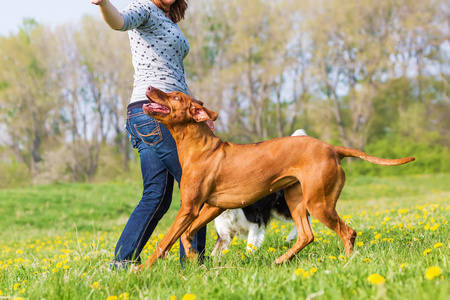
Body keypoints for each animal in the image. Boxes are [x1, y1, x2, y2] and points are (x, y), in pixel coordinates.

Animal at [142, 85, 414, 268]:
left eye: (175, 96)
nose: (150, 87)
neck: (200, 147)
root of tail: (332, 148)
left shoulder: (189, 207)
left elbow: (164, 241)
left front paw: (141, 269)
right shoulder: (212, 207)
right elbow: (186, 234)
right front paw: (192, 258)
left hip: (318, 203)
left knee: (348, 232)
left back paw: (346, 262)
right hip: (297, 199)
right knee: (307, 235)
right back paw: (281, 260)